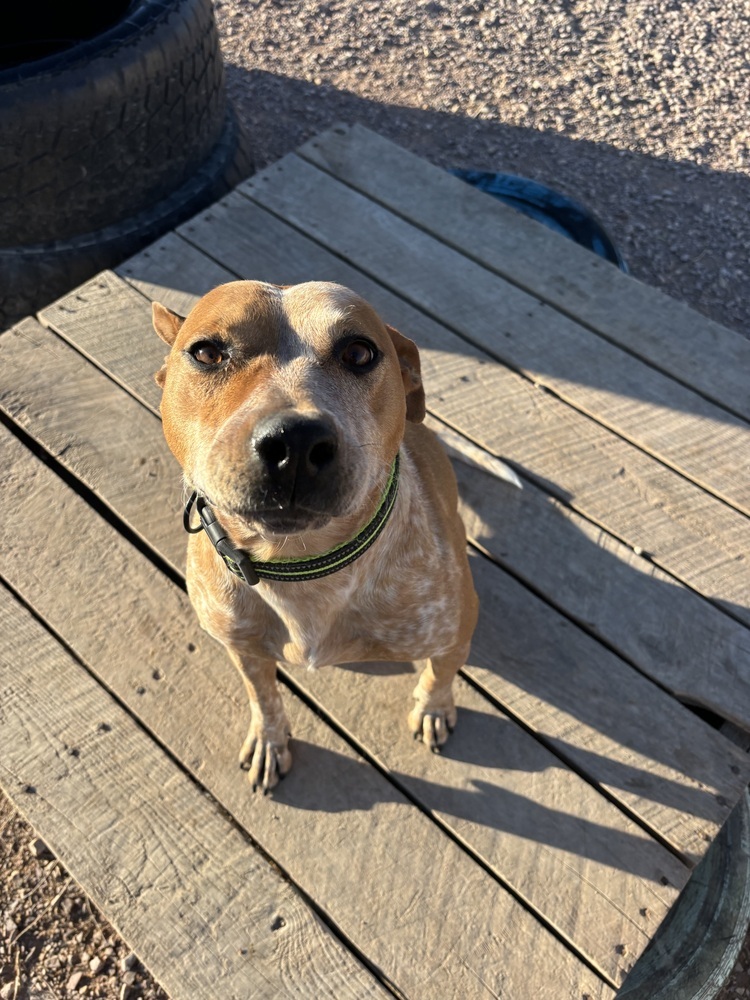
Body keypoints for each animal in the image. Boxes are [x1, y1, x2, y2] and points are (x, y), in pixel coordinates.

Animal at [153, 280, 478, 788]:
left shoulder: (455, 632)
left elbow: (440, 676)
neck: (303, 567)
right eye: (206, 352)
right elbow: (263, 696)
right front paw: (269, 739)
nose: (295, 441)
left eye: (360, 352)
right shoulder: (241, 648)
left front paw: (433, 709)